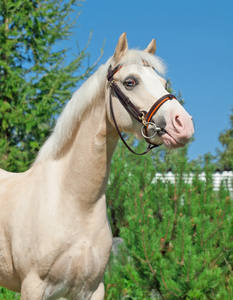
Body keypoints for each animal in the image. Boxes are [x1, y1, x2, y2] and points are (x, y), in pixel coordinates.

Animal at [0, 33, 193, 300]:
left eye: (163, 82)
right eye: (130, 81)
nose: (183, 124)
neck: (75, 202)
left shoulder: (90, 289)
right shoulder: (33, 286)